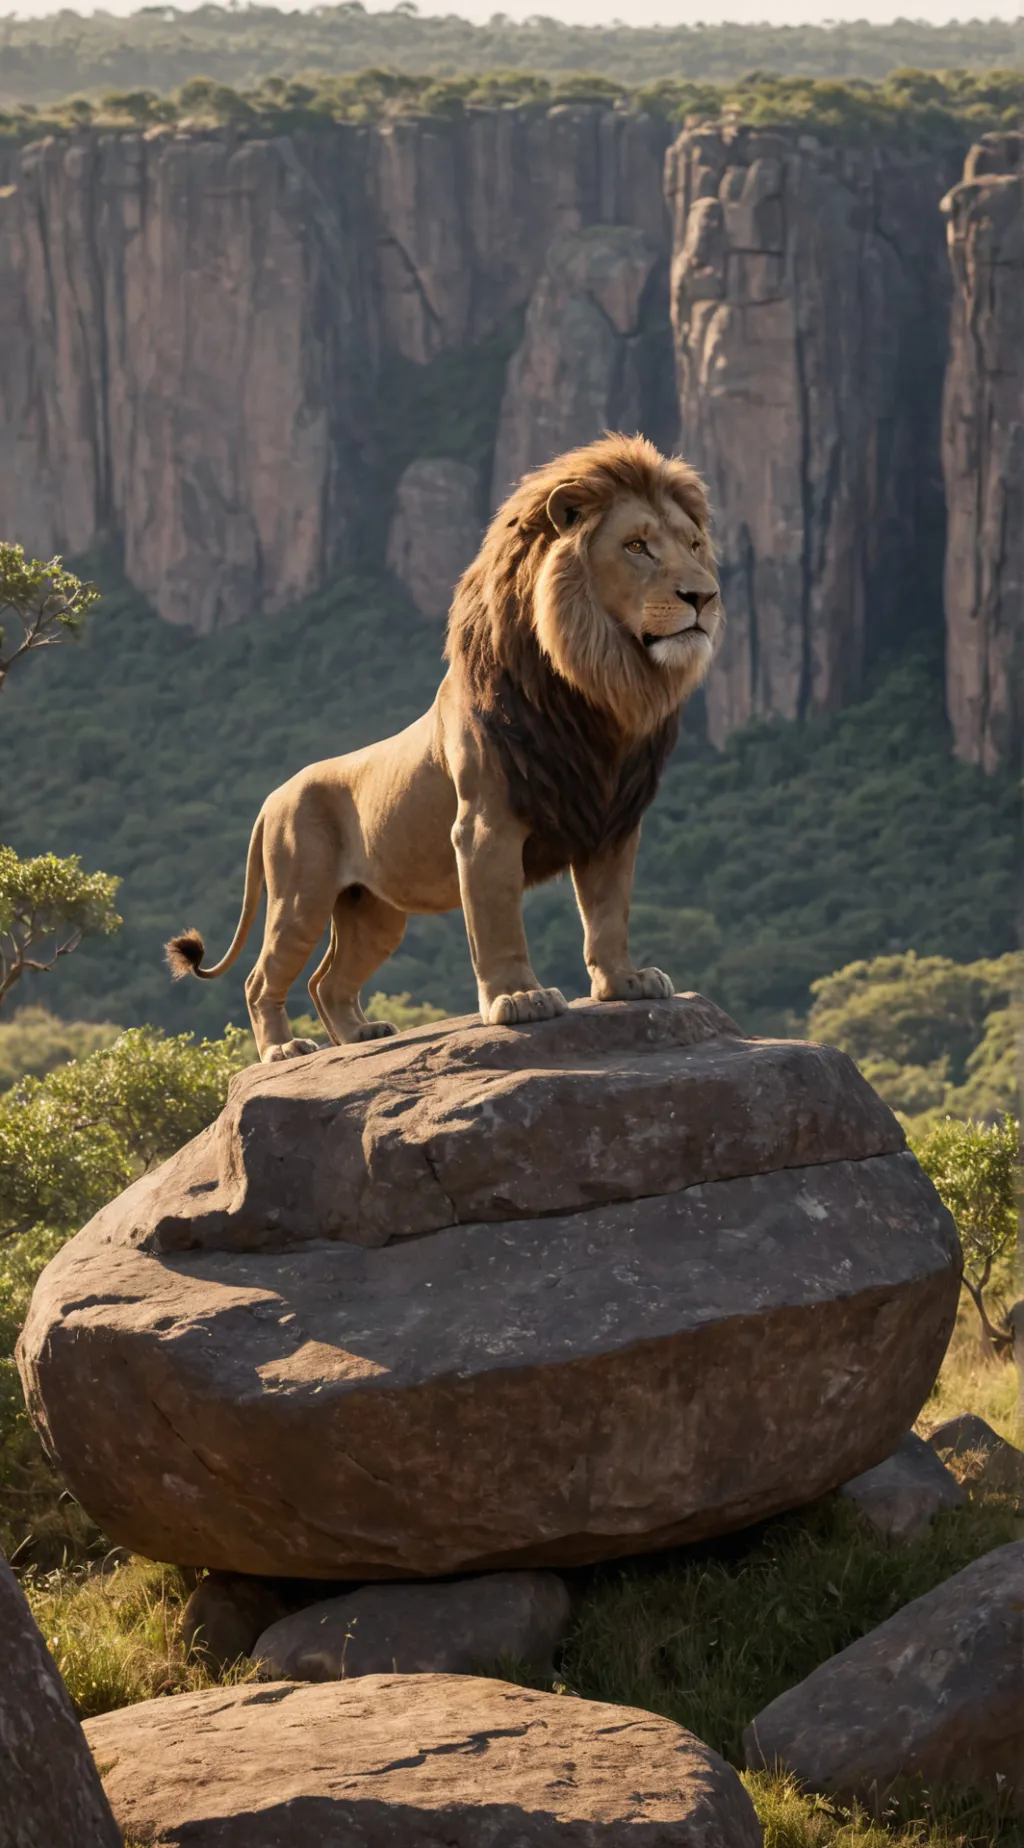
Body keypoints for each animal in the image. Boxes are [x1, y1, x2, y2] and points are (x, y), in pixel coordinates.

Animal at [166, 432, 724, 1061]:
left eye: (694, 545)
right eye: (636, 546)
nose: (705, 596)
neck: (594, 695)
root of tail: (272, 798)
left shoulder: (612, 822)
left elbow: (609, 911)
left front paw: (626, 983)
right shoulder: (485, 826)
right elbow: (497, 919)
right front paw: (519, 1000)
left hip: (373, 912)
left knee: (327, 981)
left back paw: (360, 1034)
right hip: (299, 896)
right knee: (262, 978)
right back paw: (282, 1050)